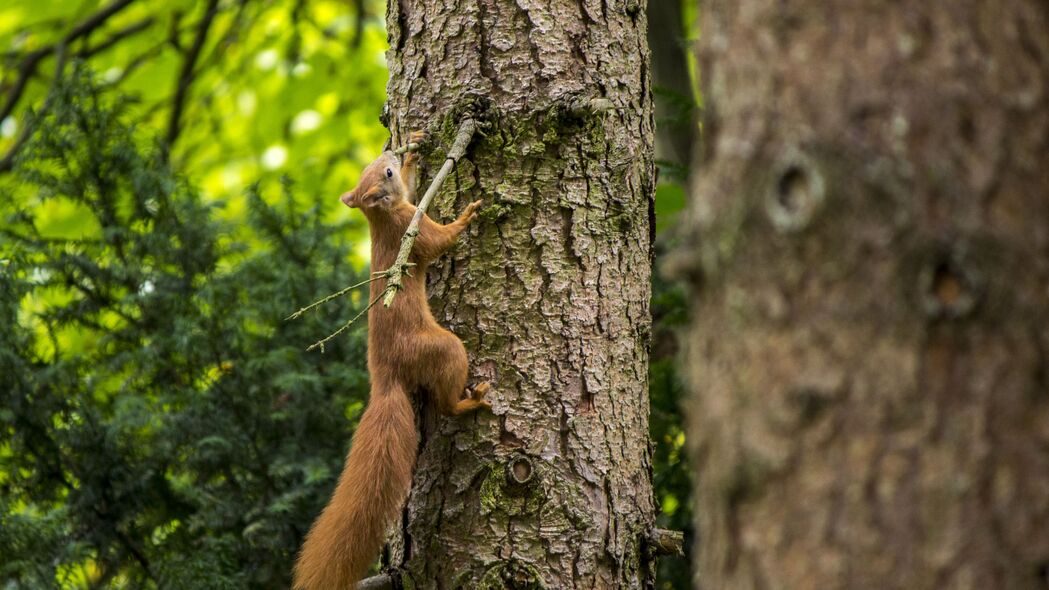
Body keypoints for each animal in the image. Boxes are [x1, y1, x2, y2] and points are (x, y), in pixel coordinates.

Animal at [289, 133, 488, 587]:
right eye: (387, 173)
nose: (392, 153)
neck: (379, 219)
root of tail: (384, 378)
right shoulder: (411, 227)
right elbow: (439, 241)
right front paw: (466, 216)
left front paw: (415, 147)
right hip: (442, 348)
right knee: (445, 401)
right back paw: (471, 401)